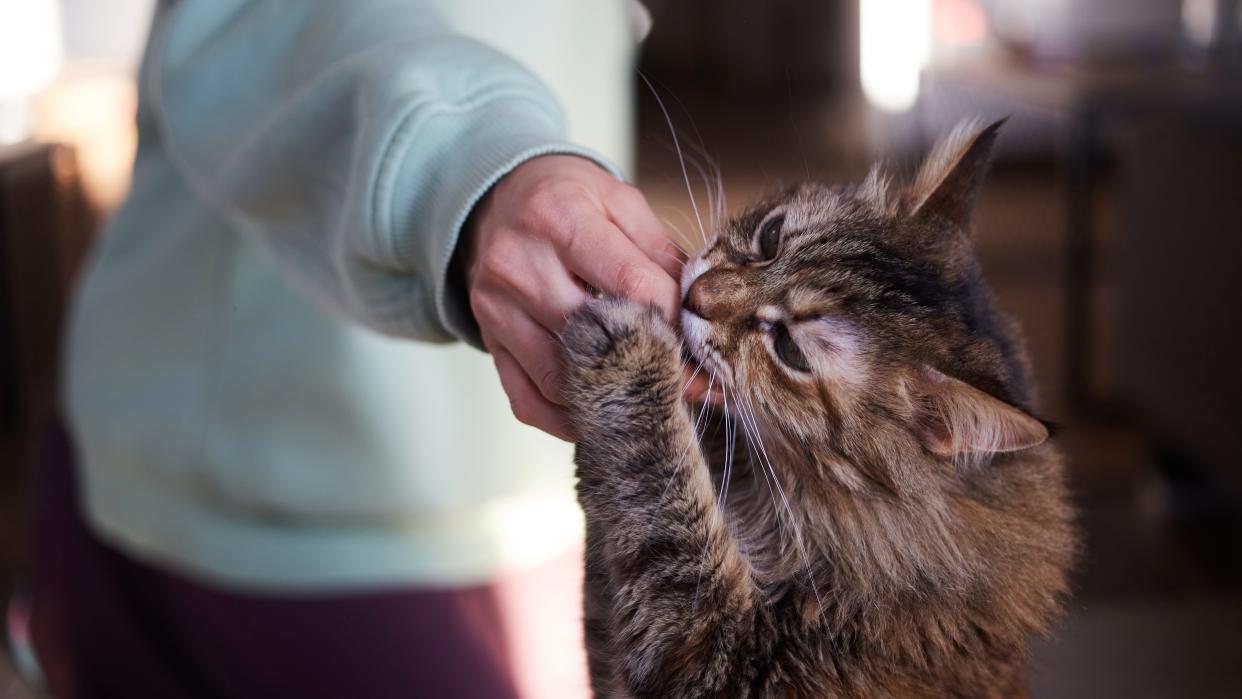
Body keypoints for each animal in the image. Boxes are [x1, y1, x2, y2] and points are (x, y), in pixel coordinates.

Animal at [563, 120, 1078, 699]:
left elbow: (667, 517)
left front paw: (628, 353)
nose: (696, 294)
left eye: (790, 350)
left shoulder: (721, 656)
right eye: (769, 238)